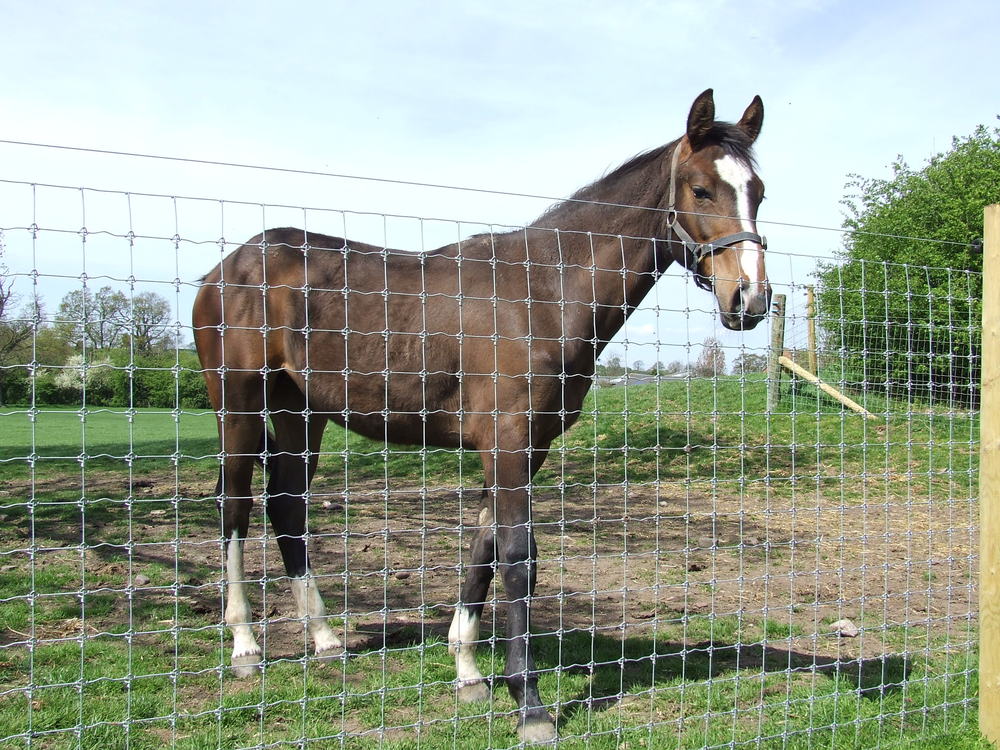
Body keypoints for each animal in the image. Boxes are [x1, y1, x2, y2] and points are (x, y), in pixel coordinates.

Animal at [195, 89, 772, 748]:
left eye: (758, 192)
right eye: (701, 189)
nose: (750, 300)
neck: (541, 292)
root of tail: (226, 267)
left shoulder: (525, 448)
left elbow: (485, 549)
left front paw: (469, 670)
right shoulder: (509, 443)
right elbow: (519, 558)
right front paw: (531, 707)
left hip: (301, 415)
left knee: (286, 506)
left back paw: (324, 637)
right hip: (238, 408)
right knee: (235, 504)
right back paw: (245, 644)